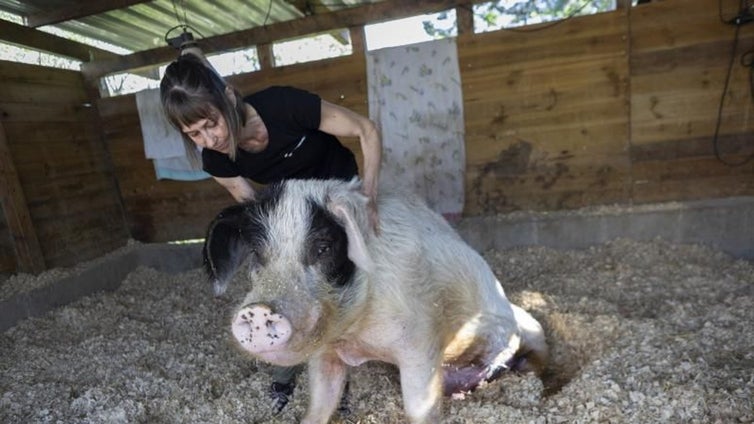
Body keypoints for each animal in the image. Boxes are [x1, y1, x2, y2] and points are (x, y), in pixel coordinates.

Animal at [204, 179, 548, 424]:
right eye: (256, 253)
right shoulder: (325, 352)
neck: (356, 339)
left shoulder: (421, 344)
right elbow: (320, 403)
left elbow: (419, 408)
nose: (257, 310)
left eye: (323, 248)